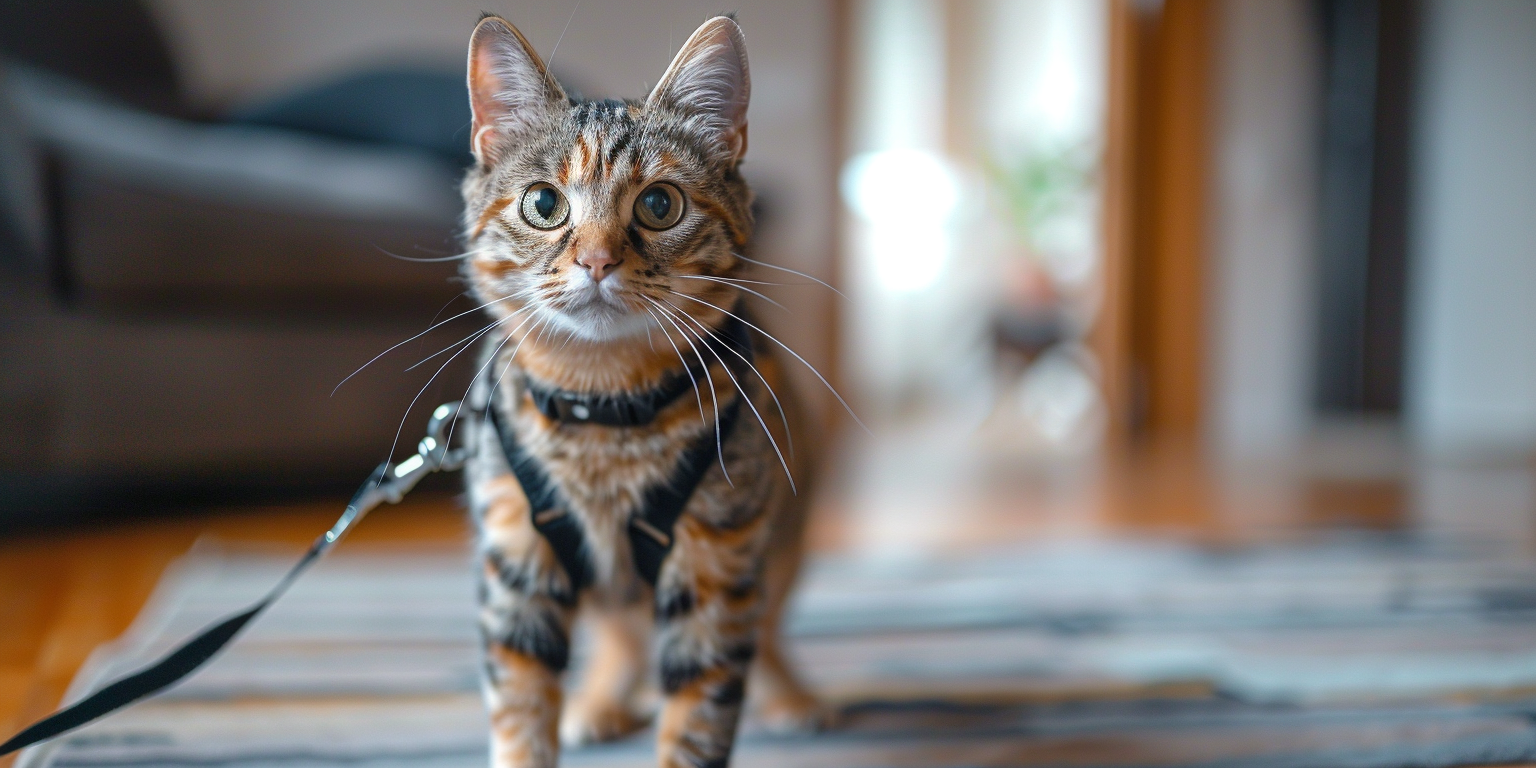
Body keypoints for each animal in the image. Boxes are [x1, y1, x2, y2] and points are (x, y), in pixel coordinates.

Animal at [454, 13, 829, 768]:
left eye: (659, 204)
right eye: (545, 203)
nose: (597, 259)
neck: (601, 407)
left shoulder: (715, 563)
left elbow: (698, 713)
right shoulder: (517, 556)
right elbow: (520, 706)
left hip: (781, 534)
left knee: (768, 626)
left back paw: (789, 696)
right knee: (624, 638)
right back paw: (600, 701)